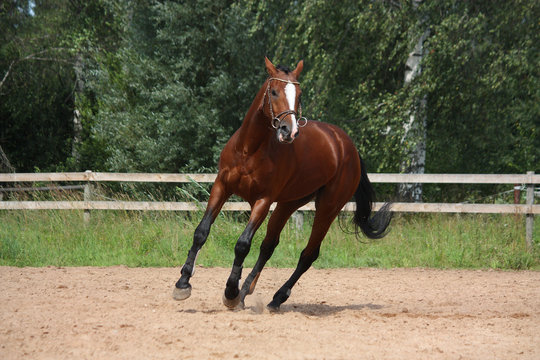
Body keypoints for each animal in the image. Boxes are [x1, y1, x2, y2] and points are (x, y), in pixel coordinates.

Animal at [175, 57, 390, 310]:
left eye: (299, 94)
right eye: (274, 92)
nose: (290, 131)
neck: (249, 149)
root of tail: (348, 147)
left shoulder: (263, 201)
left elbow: (242, 244)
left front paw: (230, 292)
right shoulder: (221, 187)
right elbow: (202, 231)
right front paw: (183, 283)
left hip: (328, 208)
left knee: (308, 254)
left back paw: (275, 297)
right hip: (289, 204)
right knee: (269, 246)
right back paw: (246, 291)